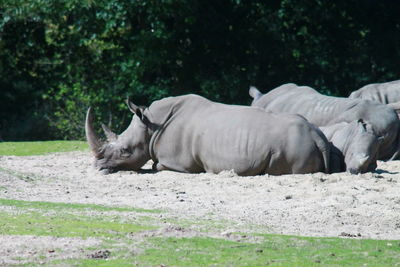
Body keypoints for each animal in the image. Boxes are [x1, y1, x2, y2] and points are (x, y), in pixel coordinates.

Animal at [85, 93, 332, 176]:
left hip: (294, 146)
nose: (97, 167)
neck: (151, 126)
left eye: (125, 151)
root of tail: (318, 137)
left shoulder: (179, 164)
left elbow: (156, 165)